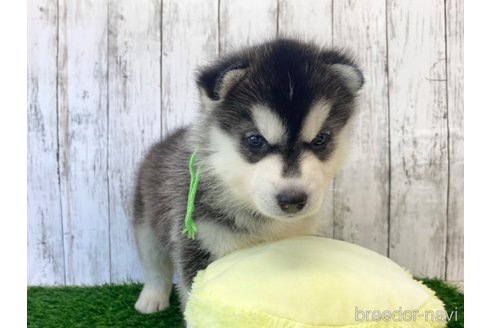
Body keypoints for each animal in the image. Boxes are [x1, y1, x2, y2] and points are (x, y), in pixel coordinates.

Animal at [133, 38, 364, 312]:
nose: (292, 199)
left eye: (320, 140)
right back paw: (151, 298)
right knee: (154, 263)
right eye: (255, 140)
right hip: (146, 220)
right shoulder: (198, 244)